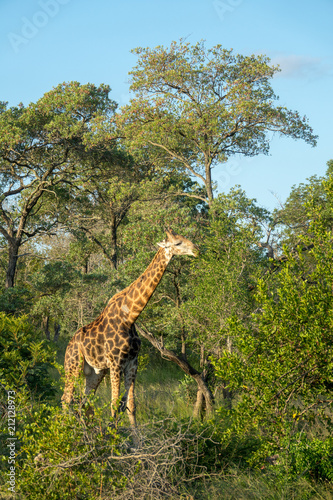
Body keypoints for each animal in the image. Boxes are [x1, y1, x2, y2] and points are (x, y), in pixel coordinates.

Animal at [61, 229, 198, 426]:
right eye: (178, 243)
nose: (196, 250)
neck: (130, 317)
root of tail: (69, 345)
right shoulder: (116, 362)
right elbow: (114, 405)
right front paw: (114, 434)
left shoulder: (132, 362)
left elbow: (130, 405)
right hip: (73, 366)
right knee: (66, 399)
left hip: (95, 372)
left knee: (85, 401)